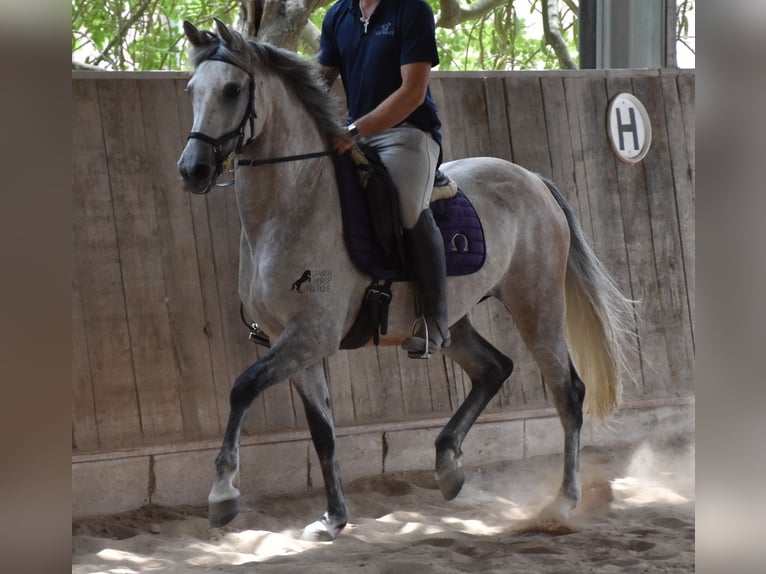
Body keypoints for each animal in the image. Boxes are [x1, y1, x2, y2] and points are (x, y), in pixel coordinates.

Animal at [177, 20, 632, 544]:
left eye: (233, 90)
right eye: (192, 90)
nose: (193, 170)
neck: (293, 205)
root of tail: (533, 180)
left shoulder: (311, 334)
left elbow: (242, 388)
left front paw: (222, 495)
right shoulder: (291, 340)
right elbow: (322, 431)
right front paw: (333, 518)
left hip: (536, 305)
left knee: (567, 392)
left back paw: (561, 503)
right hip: (451, 319)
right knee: (493, 368)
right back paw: (448, 466)